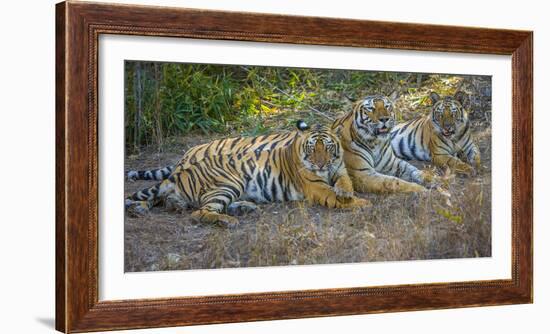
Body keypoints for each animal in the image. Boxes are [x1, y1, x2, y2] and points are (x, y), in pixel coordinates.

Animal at [127, 121, 370, 226]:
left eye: (327, 148)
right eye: (312, 149)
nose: (320, 164)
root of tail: (182, 167)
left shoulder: (340, 170)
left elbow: (345, 183)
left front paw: (347, 193)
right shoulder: (316, 186)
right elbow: (334, 195)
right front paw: (361, 203)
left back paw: (245, 208)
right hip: (229, 183)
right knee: (199, 212)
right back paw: (228, 221)